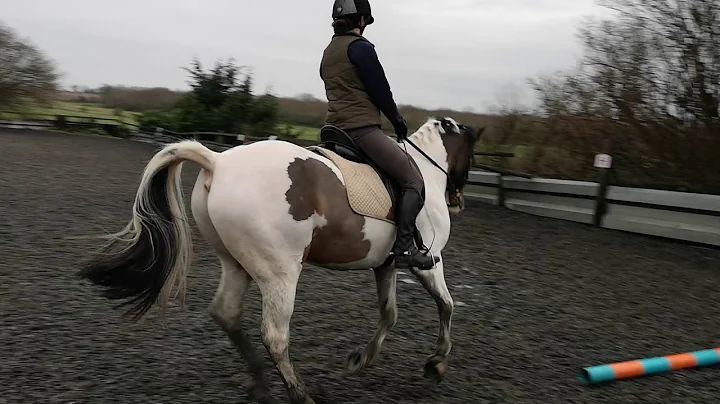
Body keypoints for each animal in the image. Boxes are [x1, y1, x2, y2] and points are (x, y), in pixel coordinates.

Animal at [77, 117, 484, 404]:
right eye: (472, 154)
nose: (459, 201)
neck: (425, 172)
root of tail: (218, 161)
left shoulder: (385, 264)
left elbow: (390, 313)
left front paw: (361, 359)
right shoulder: (429, 261)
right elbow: (446, 306)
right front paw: (436, 364)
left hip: (236, 263)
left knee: (226, 313)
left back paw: (260, 385)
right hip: (280, 273)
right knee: (274, 335)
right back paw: (300, 394)